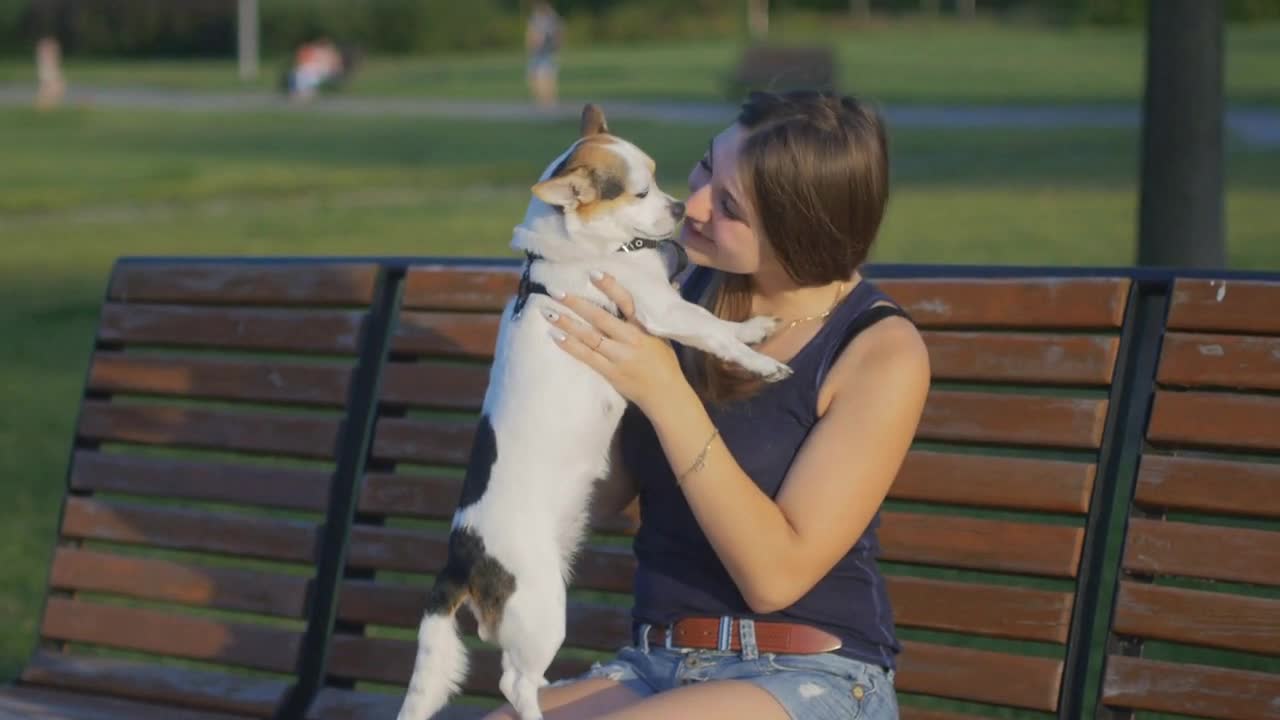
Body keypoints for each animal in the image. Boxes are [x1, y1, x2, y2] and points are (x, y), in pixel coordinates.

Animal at [394, 102, 783, 717]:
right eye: (639, 192)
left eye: (660, 180)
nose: (680, 208)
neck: (592, 250)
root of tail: (461, 555)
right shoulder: (659, 311)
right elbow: (711, 331)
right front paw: (758, 362)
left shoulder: (666, 303)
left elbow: (718, 323)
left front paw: (755, 328)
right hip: (543, 607)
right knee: (513, 681)